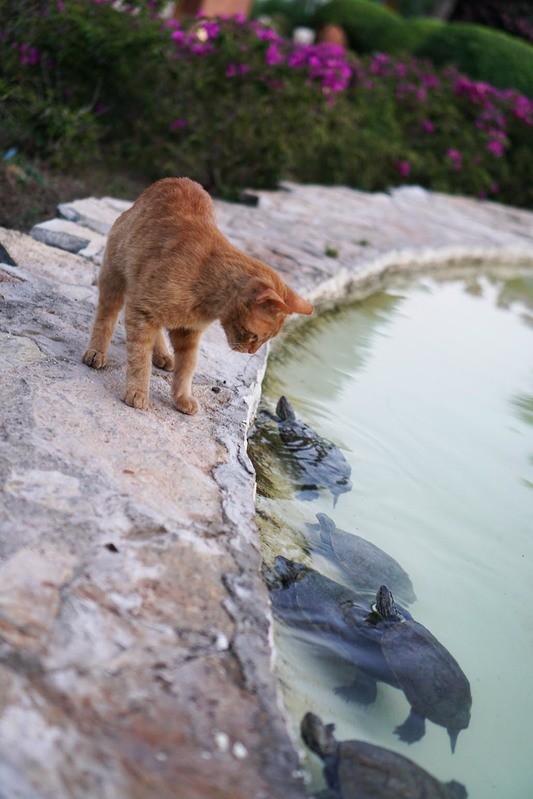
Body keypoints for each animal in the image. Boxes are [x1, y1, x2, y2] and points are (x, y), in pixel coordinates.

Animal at [82, 178, 312, 416]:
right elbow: (139, 358)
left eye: (265, 340)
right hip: (114, 278)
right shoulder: (142, 311)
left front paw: (182, 398)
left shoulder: (188, 333)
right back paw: (96, 351)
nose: (251, 351)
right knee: (106, 315)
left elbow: (187, 368)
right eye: (256, 337)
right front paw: (137, 392)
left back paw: (162, 355)